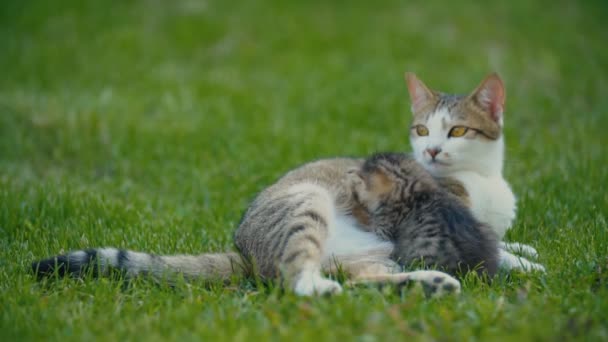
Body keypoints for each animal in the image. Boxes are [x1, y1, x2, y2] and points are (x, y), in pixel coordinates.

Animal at [406, 73, 544, 272]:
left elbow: (493, 240)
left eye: (458, 130)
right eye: (422, 130)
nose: (431, 150)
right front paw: (526, 264)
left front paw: (520, 247)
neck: (482, 176)